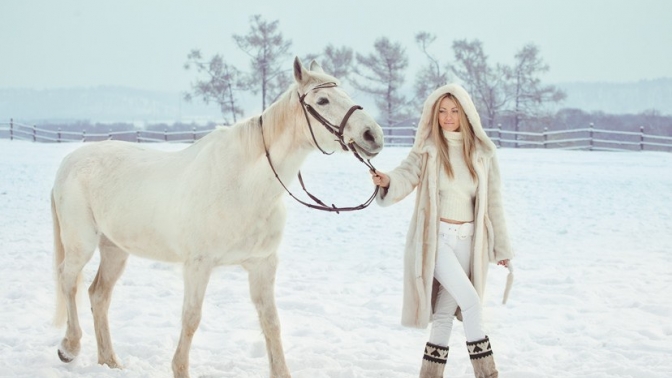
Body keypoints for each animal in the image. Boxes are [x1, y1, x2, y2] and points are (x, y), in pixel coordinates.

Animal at [52, 56, 384, 378]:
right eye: (323, 100)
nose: (373, 135)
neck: (243, 184)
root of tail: (68, 162)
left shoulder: (262, 264)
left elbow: (271, 321)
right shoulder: (198, 265)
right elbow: (191, 318)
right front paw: (180, 369)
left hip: (115, 249)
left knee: (98, 296)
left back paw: (109, 361)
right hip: (82, 243)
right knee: (68, 281)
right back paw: (69, 347)